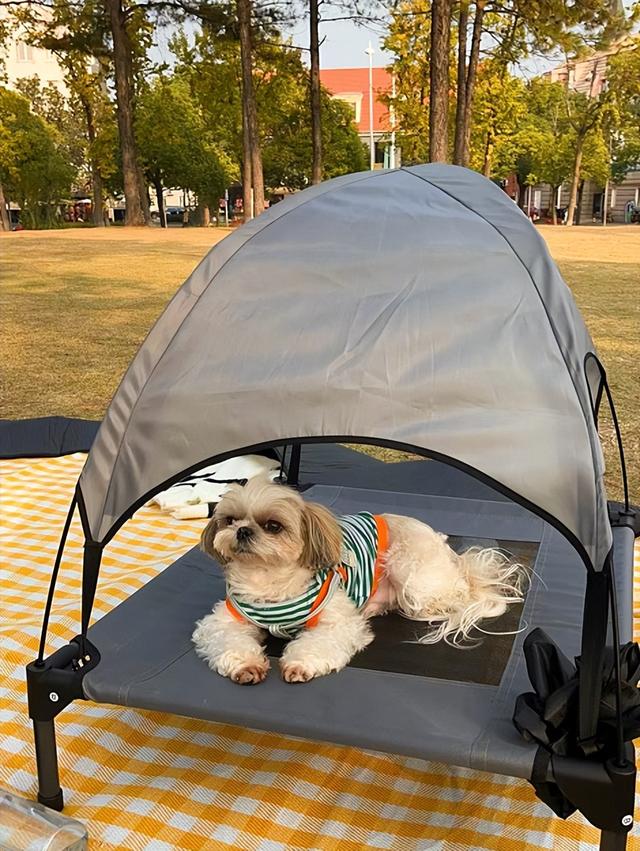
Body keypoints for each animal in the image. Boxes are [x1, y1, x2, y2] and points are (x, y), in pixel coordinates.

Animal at [192, 480, 524, 684]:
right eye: (229, 520)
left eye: (273, 526)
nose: (242, 531)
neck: (268, 579)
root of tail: (456, 559)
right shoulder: (224, 621)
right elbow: (228, 640)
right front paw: (246, 665)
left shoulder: (337, 621)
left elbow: (320, 642)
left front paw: (300, 664)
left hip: (409, 573)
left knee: (449, 600)